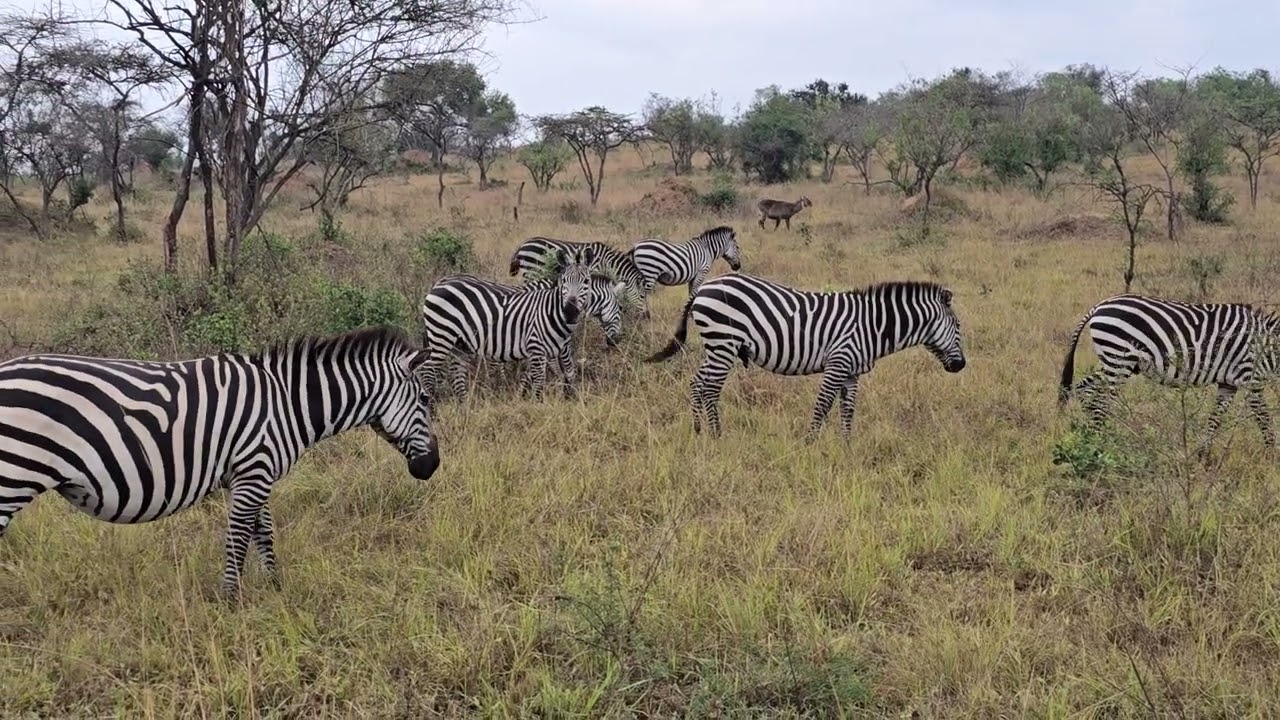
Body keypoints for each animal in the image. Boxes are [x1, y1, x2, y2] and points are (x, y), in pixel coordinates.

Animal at [0, 326, 440, 594]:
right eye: (424, 400)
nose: (432, 467)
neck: (287, 404)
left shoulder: (251, 472)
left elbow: (263, 531)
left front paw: (275, 587)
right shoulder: (254, 470)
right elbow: (238, 537)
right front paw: (231, 599)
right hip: (11, 480)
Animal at [508, 236, 650, 317]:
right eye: (642, 296)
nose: (647, 316)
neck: (607, 262)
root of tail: (523, 244)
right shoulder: (592, 272)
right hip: (532, 270)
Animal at [644, 273, 966, 441]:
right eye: (959, 327)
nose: (961, 365)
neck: (872, 325)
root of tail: (703, 288)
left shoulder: (851, 372)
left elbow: (847, 410)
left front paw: (846, 446)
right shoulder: (838, 363)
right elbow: (823, 406)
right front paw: (810, 443)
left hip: (715, 346)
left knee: (696, 383)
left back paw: (698, 430)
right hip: (723, 342)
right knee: (710, 388)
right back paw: (717, 435)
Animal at [1059, 293, 1280, 453]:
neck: (1268, 347)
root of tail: (1099, 306)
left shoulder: (1229, 384)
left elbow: (1215, 420)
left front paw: (1203, 456)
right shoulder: (1250, 379)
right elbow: (1264, 421)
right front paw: (1271, 458)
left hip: (1115, 362)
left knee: (1085, 388)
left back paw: (1092, 435)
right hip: (1118, 359)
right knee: (1100, 400)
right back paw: (1098, 441)